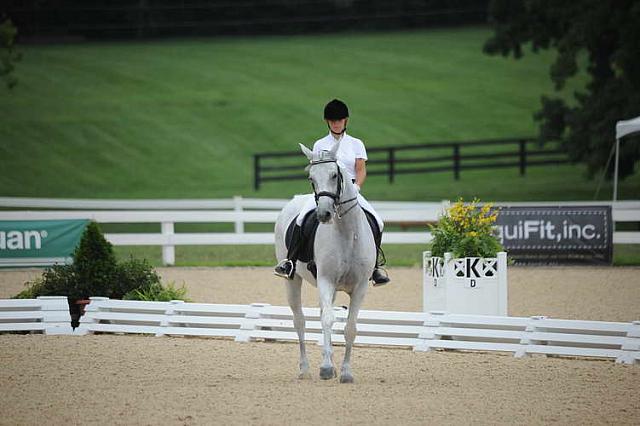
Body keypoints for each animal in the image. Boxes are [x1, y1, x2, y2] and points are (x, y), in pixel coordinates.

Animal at [274, 142, 376, 382]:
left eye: (334, 175)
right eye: (311, 178)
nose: (324, 214)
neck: (347, 233)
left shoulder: (360, 286)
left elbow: (350, 327)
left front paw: (346, 372)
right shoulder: (326, 280)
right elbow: (328, 320)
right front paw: (327, 368)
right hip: (293, 279)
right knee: (300, 321)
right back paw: (305, 369)